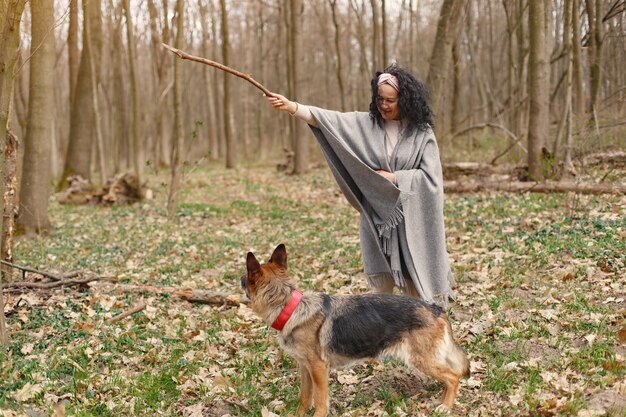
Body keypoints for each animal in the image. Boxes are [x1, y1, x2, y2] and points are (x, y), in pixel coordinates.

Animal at [241, 244, 466, 416]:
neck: (290, 306)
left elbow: (320, 401)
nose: (240, 280)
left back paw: (446, 406)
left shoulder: (318, 369)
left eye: (245, 277)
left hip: (420, 360)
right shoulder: (305, 368)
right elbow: (304, 398)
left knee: (454, 376)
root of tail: (435, 309)